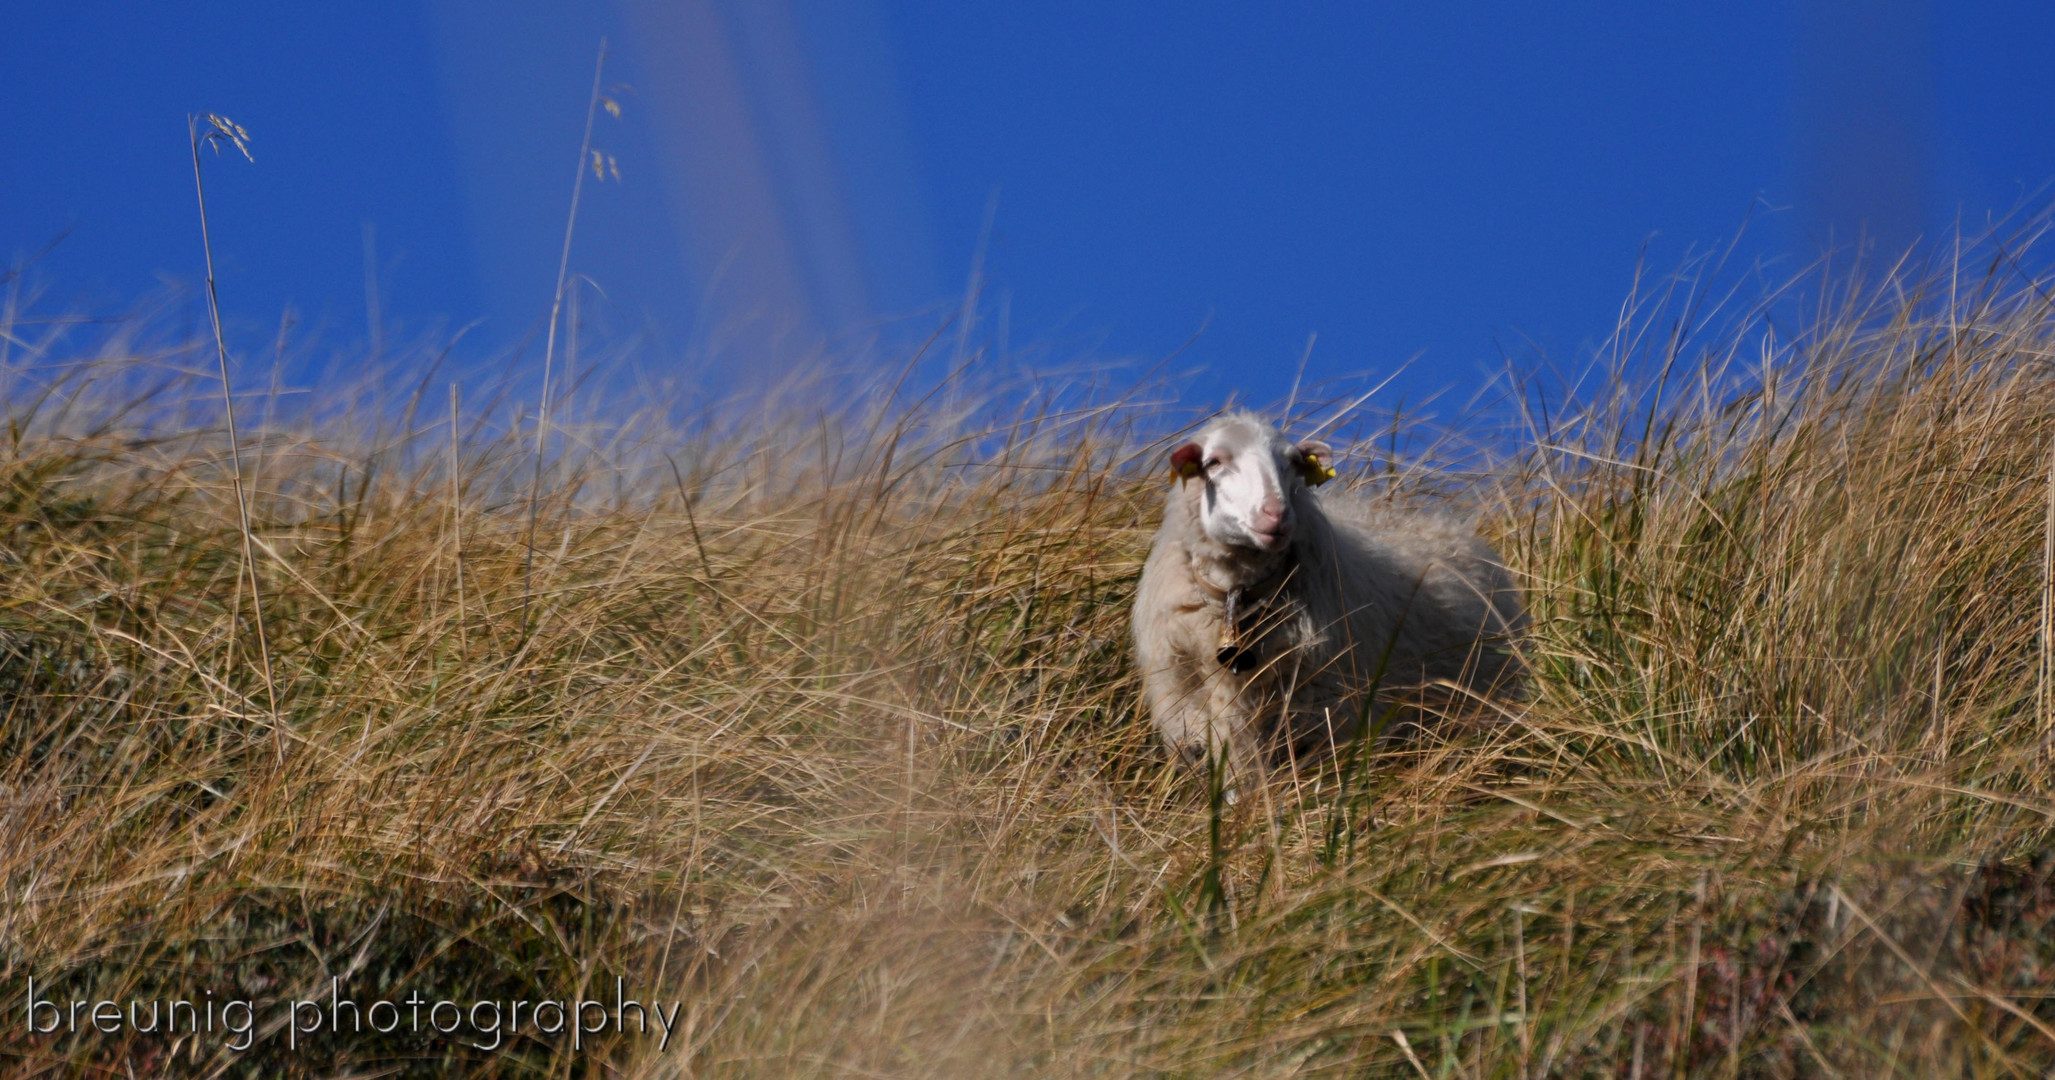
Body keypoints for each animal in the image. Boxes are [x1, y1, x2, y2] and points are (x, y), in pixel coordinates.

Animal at [1126, 410, 1528, 792]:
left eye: (1293, 462)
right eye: (1213, 462)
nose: (1276, 515)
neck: (1237, 599)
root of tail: (1453, 530)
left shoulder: (1322, 722)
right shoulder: (1197, 721)